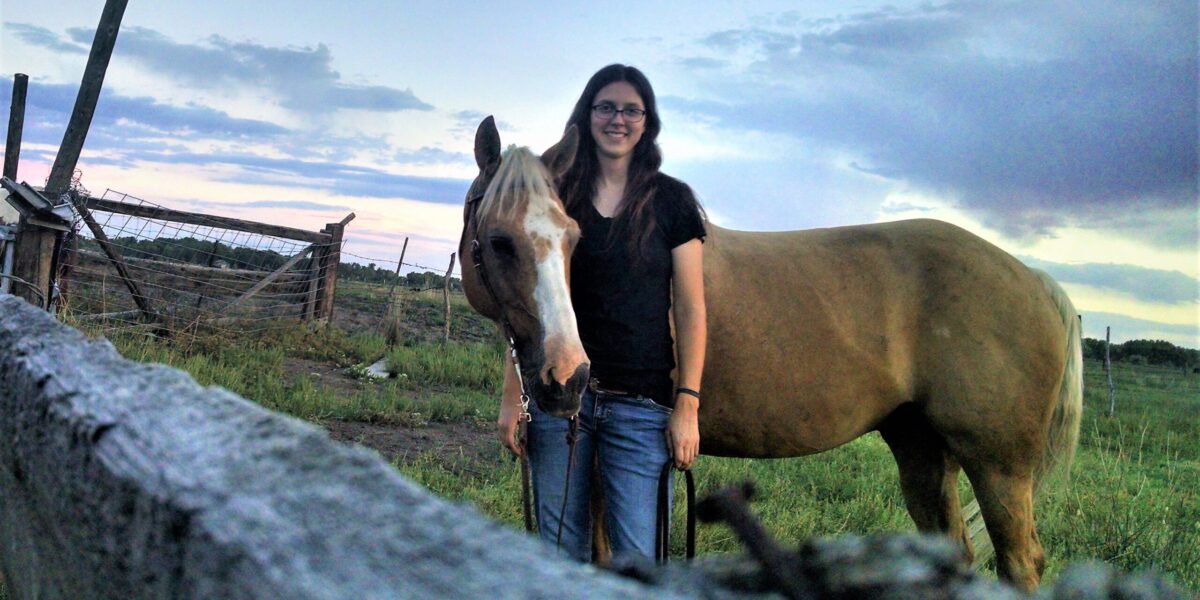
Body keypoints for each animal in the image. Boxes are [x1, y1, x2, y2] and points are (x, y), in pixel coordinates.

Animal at [458, 117, 1083, 592]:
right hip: (922, 447)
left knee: (1020, 561)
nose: (567, 377)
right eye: (500, 241)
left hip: (999, 467)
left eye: (571, 238)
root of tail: (1034, 279)